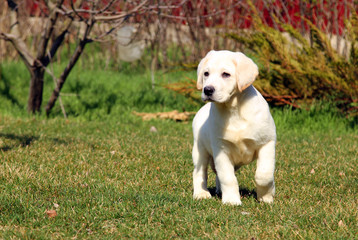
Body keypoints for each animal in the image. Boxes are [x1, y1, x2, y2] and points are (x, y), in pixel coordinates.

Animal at [192, 49, 276, 205]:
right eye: (206, 73)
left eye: (226, 74)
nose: (207, 90)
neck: (233, 110)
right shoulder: (221, 150)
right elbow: (228, 178)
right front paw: (231, 200)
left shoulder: (267, 143)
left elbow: (264, 174)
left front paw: (266, 196)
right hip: (200, 151)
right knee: (199, 173)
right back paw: (201, 193)